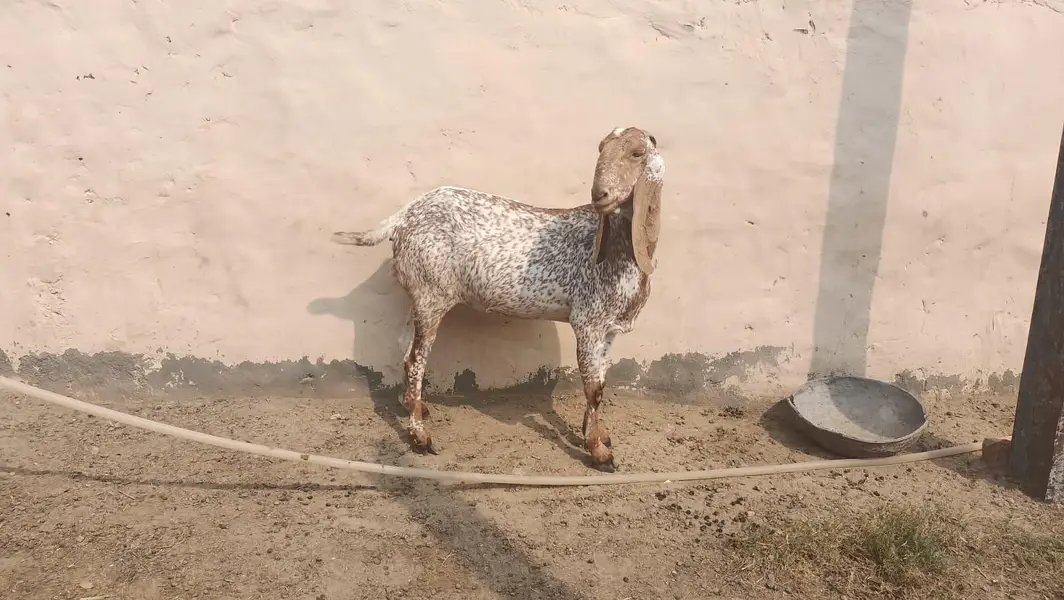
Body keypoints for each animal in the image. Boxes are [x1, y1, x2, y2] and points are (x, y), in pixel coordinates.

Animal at [331, 127, 665, 470]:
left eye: (637, 153)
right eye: (601, 149)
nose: (600, 195)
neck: (621, 252)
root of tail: (403, 217)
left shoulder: (608, 328)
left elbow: (601, 381)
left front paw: (597, 434)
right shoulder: (588, 321)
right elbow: (593, 387)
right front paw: (598, 451)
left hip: (419, 293)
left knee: (405, 345)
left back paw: (414, 405)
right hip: (431, 293)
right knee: (415, 358)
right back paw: (420, 437)